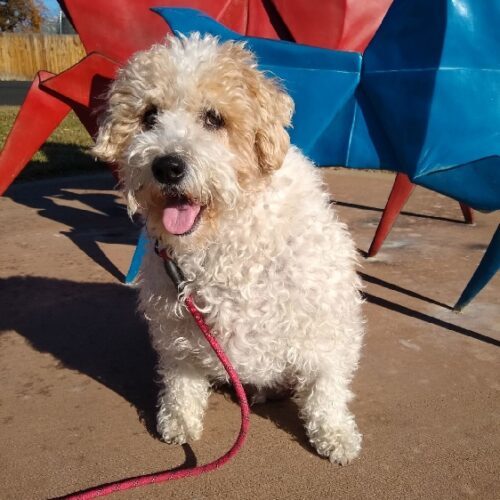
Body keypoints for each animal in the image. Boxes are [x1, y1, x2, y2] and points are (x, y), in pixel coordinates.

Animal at [94, 34, 366, 464]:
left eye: (214, 118)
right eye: (149, 116)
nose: (167, 166)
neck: (223, 239)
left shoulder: (326, 322)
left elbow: (326, 386)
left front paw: (335, 434)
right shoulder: (177, 325)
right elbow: (181, 380)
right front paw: (180, 420)